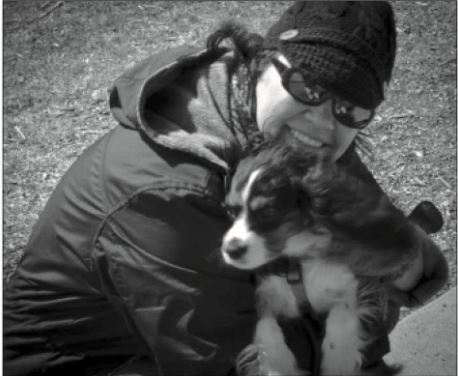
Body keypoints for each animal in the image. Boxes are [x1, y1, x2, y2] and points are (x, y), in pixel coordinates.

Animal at [221, 142, 418, 376]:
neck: (297, 263)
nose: (231, 250)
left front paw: (337, 360)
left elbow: (341, 314)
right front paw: (279, 364)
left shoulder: (356, 282)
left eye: (267, 212)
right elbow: (264, 324)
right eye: (231, 210)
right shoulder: (264, 293)